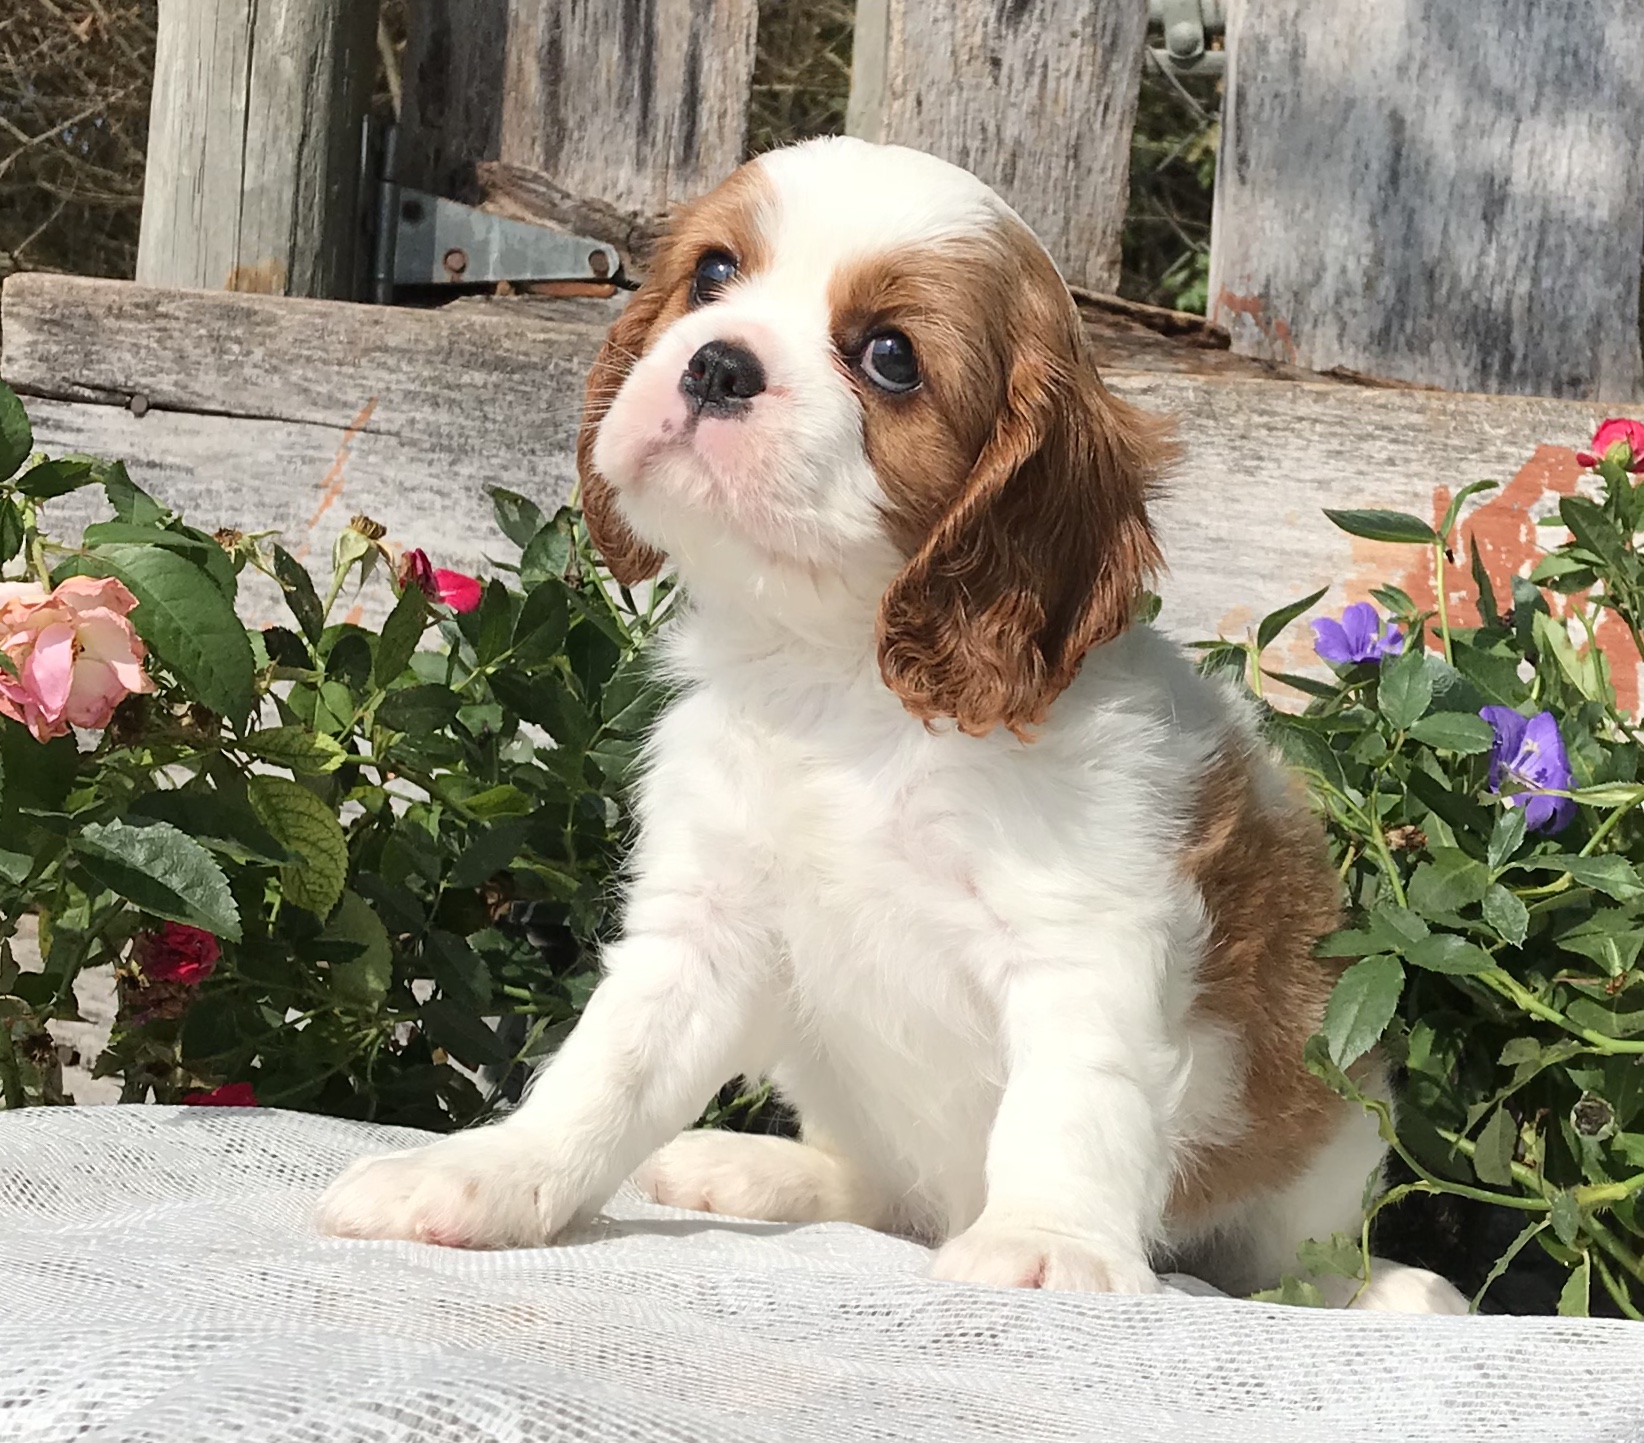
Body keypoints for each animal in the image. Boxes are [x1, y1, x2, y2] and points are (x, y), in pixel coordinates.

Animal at [317, 141, 1466, 1314]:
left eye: (889, 356)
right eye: (713, 275)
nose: (718, 365)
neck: (842, 684)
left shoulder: (1084, 938)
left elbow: (1073, 1100)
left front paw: (1046, 1242)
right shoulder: (701, 926)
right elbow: (606, 1067)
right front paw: (488, 1174)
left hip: (1318, 1151)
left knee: (1291, 1262)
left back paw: (1387, 1289)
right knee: (877, 1192)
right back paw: (757, 1169)